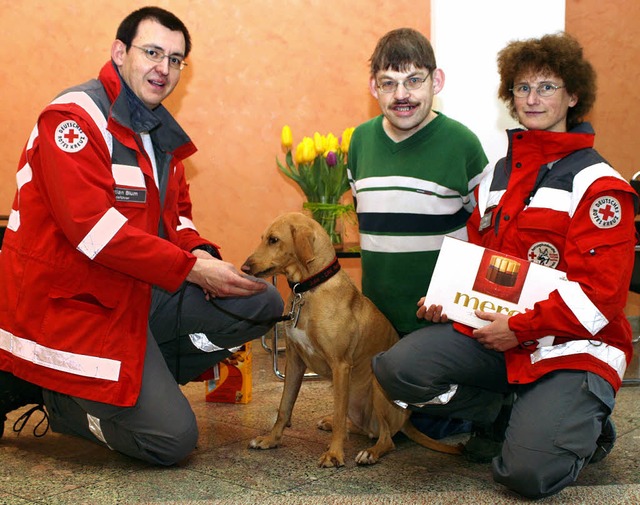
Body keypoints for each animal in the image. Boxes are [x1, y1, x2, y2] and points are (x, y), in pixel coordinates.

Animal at [240, 211, 460, 466]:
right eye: (263, 238)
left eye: (274, 240)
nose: (244, 267)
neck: (309, 290)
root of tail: (406, 420)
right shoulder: (295, 362)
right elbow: (284, 407)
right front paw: (271, 440)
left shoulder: (341, 365)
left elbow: (338, 413)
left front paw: (334, 454)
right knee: (362, 428)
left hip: (377, 387)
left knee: (385, 438)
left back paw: (370, 452)